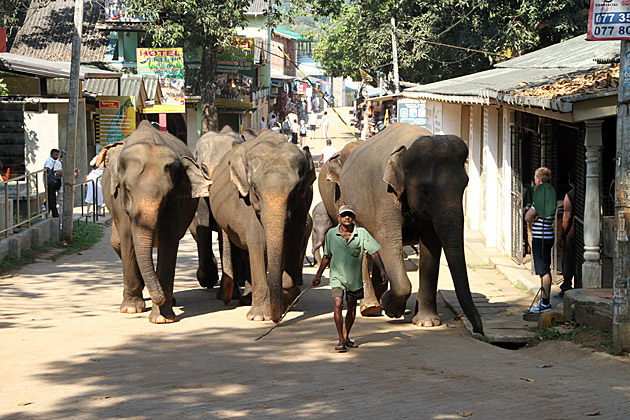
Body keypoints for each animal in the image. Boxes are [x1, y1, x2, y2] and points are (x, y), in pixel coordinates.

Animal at [97, 120, 210, 324]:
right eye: (127, 190)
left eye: (166, 195)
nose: (159, 298)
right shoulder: (118, 200)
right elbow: (128, 239)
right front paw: (131, 308)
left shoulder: (174, 203)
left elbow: (168, 240)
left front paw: (162, 318)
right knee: (117, 243)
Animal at [210, 131, 316, 322]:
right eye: (254, 188)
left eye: (296, 189)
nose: (276, 318)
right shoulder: (245, 201)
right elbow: (258, 242)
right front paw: (259, 317)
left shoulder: (303, 202)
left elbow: (294, 238)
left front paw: (287, 300)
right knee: (248, 250)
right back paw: (248, 301)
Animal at [338, 122, 486, 334]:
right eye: (425, 190)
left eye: (464, 186)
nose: (479, 331)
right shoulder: (383, 193)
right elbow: (388, 240)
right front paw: (392, 309)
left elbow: (431, 244)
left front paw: (427, 322)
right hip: (351, 203)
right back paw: (371, 307)